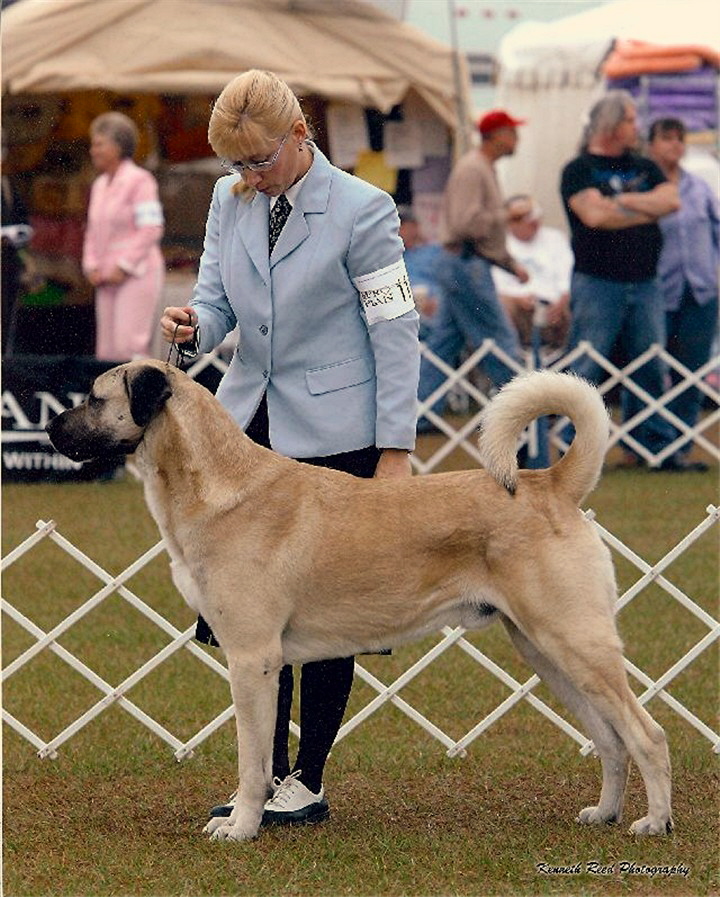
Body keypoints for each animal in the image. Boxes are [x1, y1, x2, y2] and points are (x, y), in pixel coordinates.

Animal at [46, 358, 676, 840]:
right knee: (610, 740)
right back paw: (605, 814)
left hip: (576, 643)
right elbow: (263, 753)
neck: (215, 483)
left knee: (647, 735)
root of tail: (549, 483)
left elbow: (254, 761)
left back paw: (654, 824)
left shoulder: (252, 659)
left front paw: (242, 828)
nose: (49, 429)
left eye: (95, 398)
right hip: (545, 652)